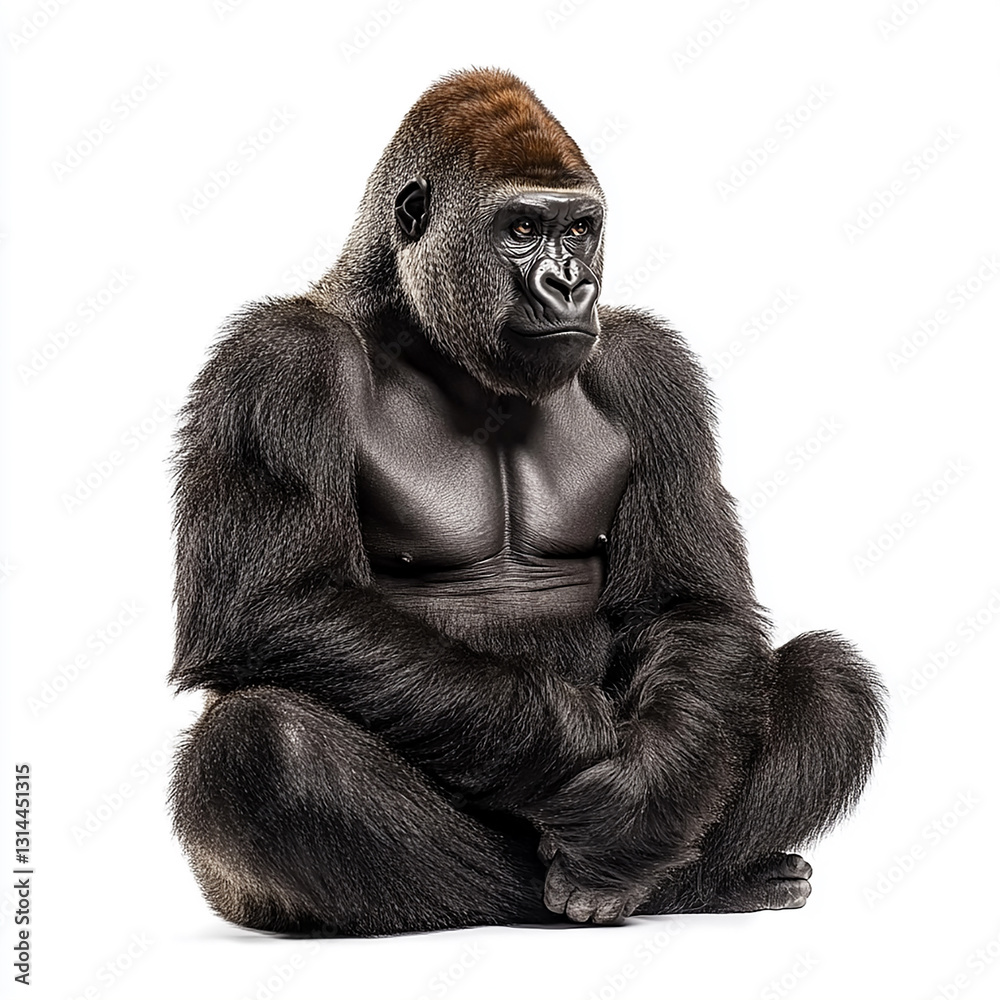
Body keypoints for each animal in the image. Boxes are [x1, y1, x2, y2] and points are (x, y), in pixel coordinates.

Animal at [168, 67, 885, 936]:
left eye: (579, 230)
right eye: (520, 229)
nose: (571, 284)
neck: (411, 328)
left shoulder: (653, 371)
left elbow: (692, 603)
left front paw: (642, 798)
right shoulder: (274, 366)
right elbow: (272, 604)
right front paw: (575, 738)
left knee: (829, 681)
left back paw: (699, 879)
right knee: (266, 742)